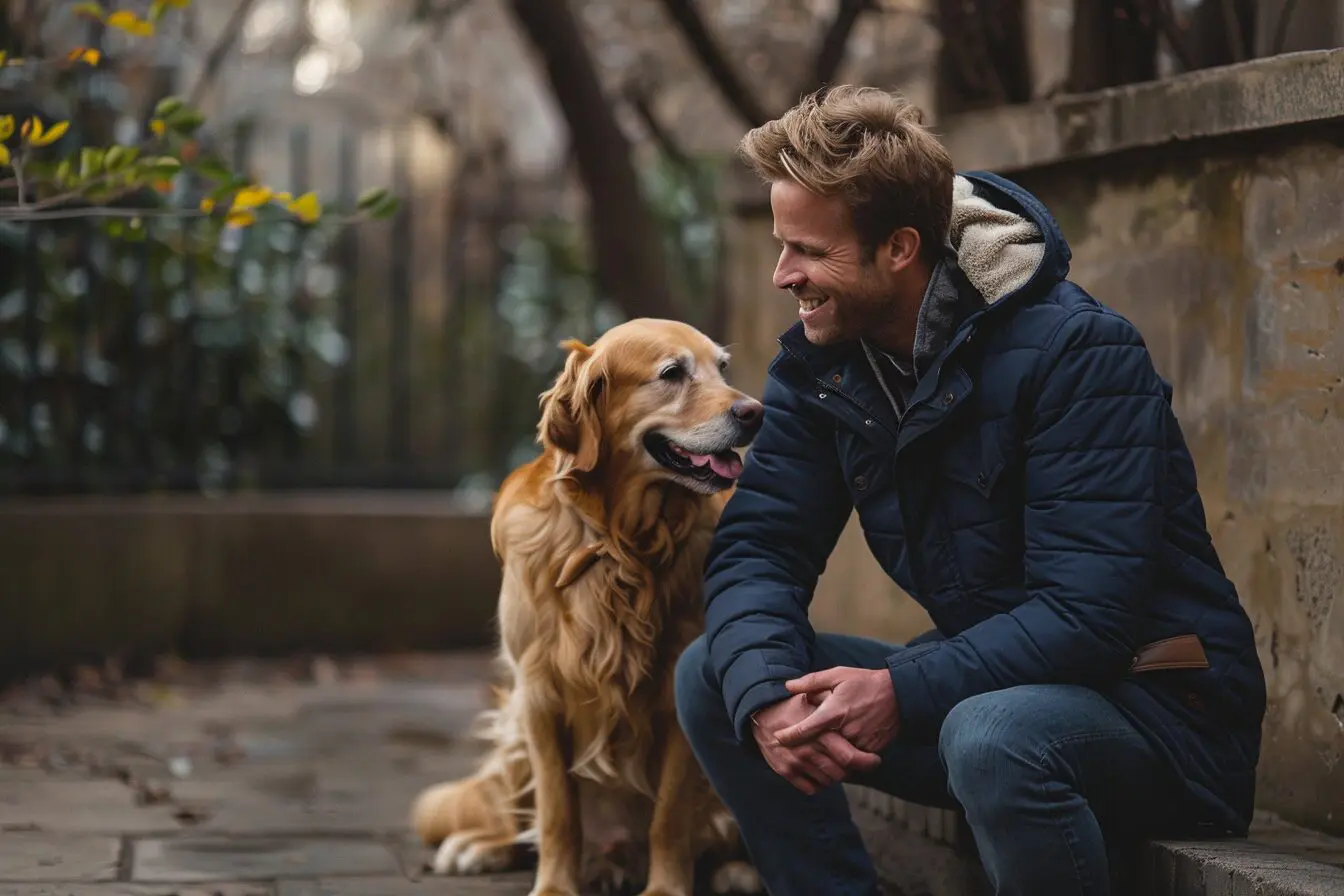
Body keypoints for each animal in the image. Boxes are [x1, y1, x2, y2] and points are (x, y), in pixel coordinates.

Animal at [408, 318, 768, 896]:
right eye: (672, 373)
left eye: (723, 368)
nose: (756, 412)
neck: (621, 544)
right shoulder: (538, 695)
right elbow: (558, 814)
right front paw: (555, 886)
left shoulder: (678, 696)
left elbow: (670, 815)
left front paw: (667, 888)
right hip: (513, 729)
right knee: (521, 821)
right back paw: (479, 847)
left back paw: (736, 870)